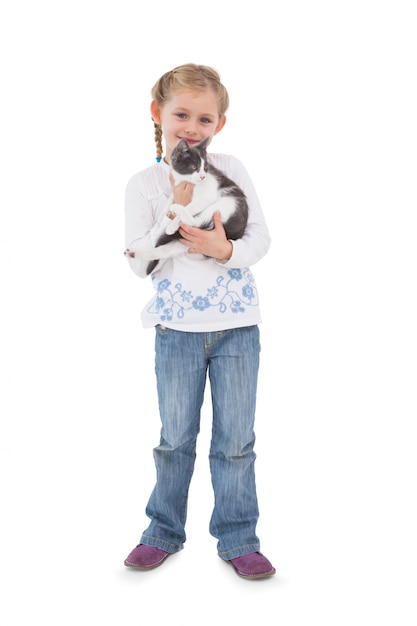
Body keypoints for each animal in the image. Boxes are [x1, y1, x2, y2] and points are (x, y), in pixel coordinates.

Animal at [128, 138, 249, 274]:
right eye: (193, 167)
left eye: (205, 167)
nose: (203, 176)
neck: (188, 181)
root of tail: (233, 233)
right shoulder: (178, 185)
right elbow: (172, 197)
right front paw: (162, 215)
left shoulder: (207, 196)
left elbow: (190, 207)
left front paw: (172, 224)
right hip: (183, 244)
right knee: (162, 252)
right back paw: (133, 253)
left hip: (227, 205)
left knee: (194, 223)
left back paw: (176, 213)